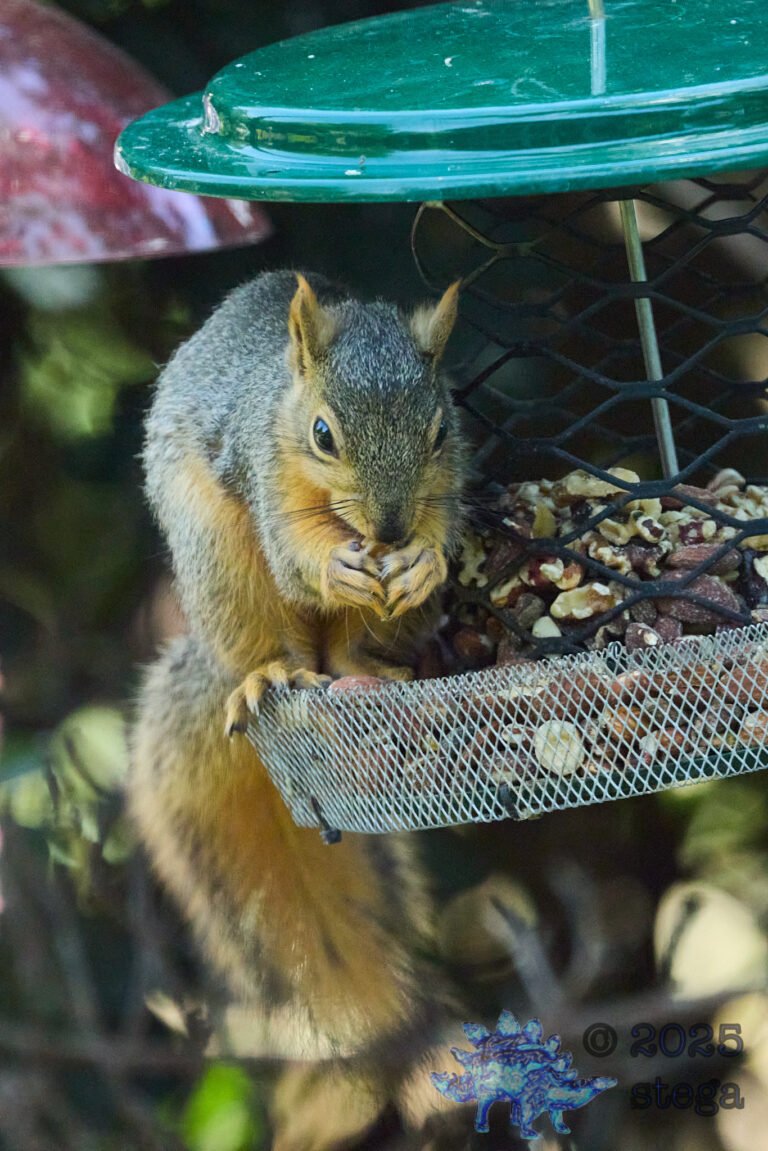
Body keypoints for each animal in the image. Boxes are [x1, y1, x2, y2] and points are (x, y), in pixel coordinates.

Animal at [129, 270, 470, 1147]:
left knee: (351, 649)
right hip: (218, 562)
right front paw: (335, 565)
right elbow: (295, 557)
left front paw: (421, 557)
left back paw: (363, 668)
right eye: (323, 434)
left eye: (440, 431)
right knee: (266, 634)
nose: (389, 528)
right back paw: (267, 675)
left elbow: (443, 526)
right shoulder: (263, 471)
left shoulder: (445, 484)